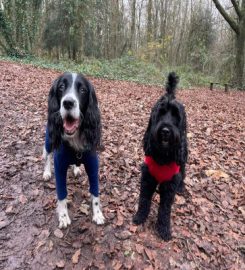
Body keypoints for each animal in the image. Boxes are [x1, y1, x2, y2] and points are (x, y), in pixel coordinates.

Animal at [134, 72, 188, 240]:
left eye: (176, 116)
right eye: (160, 113)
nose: (165, 131)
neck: (163, 157)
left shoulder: (170, 184)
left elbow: (165, 209)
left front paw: (164, 228)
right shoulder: (148, 177)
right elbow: (144, 199)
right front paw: (140, 216)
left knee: (183, 171)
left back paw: (181, 187)